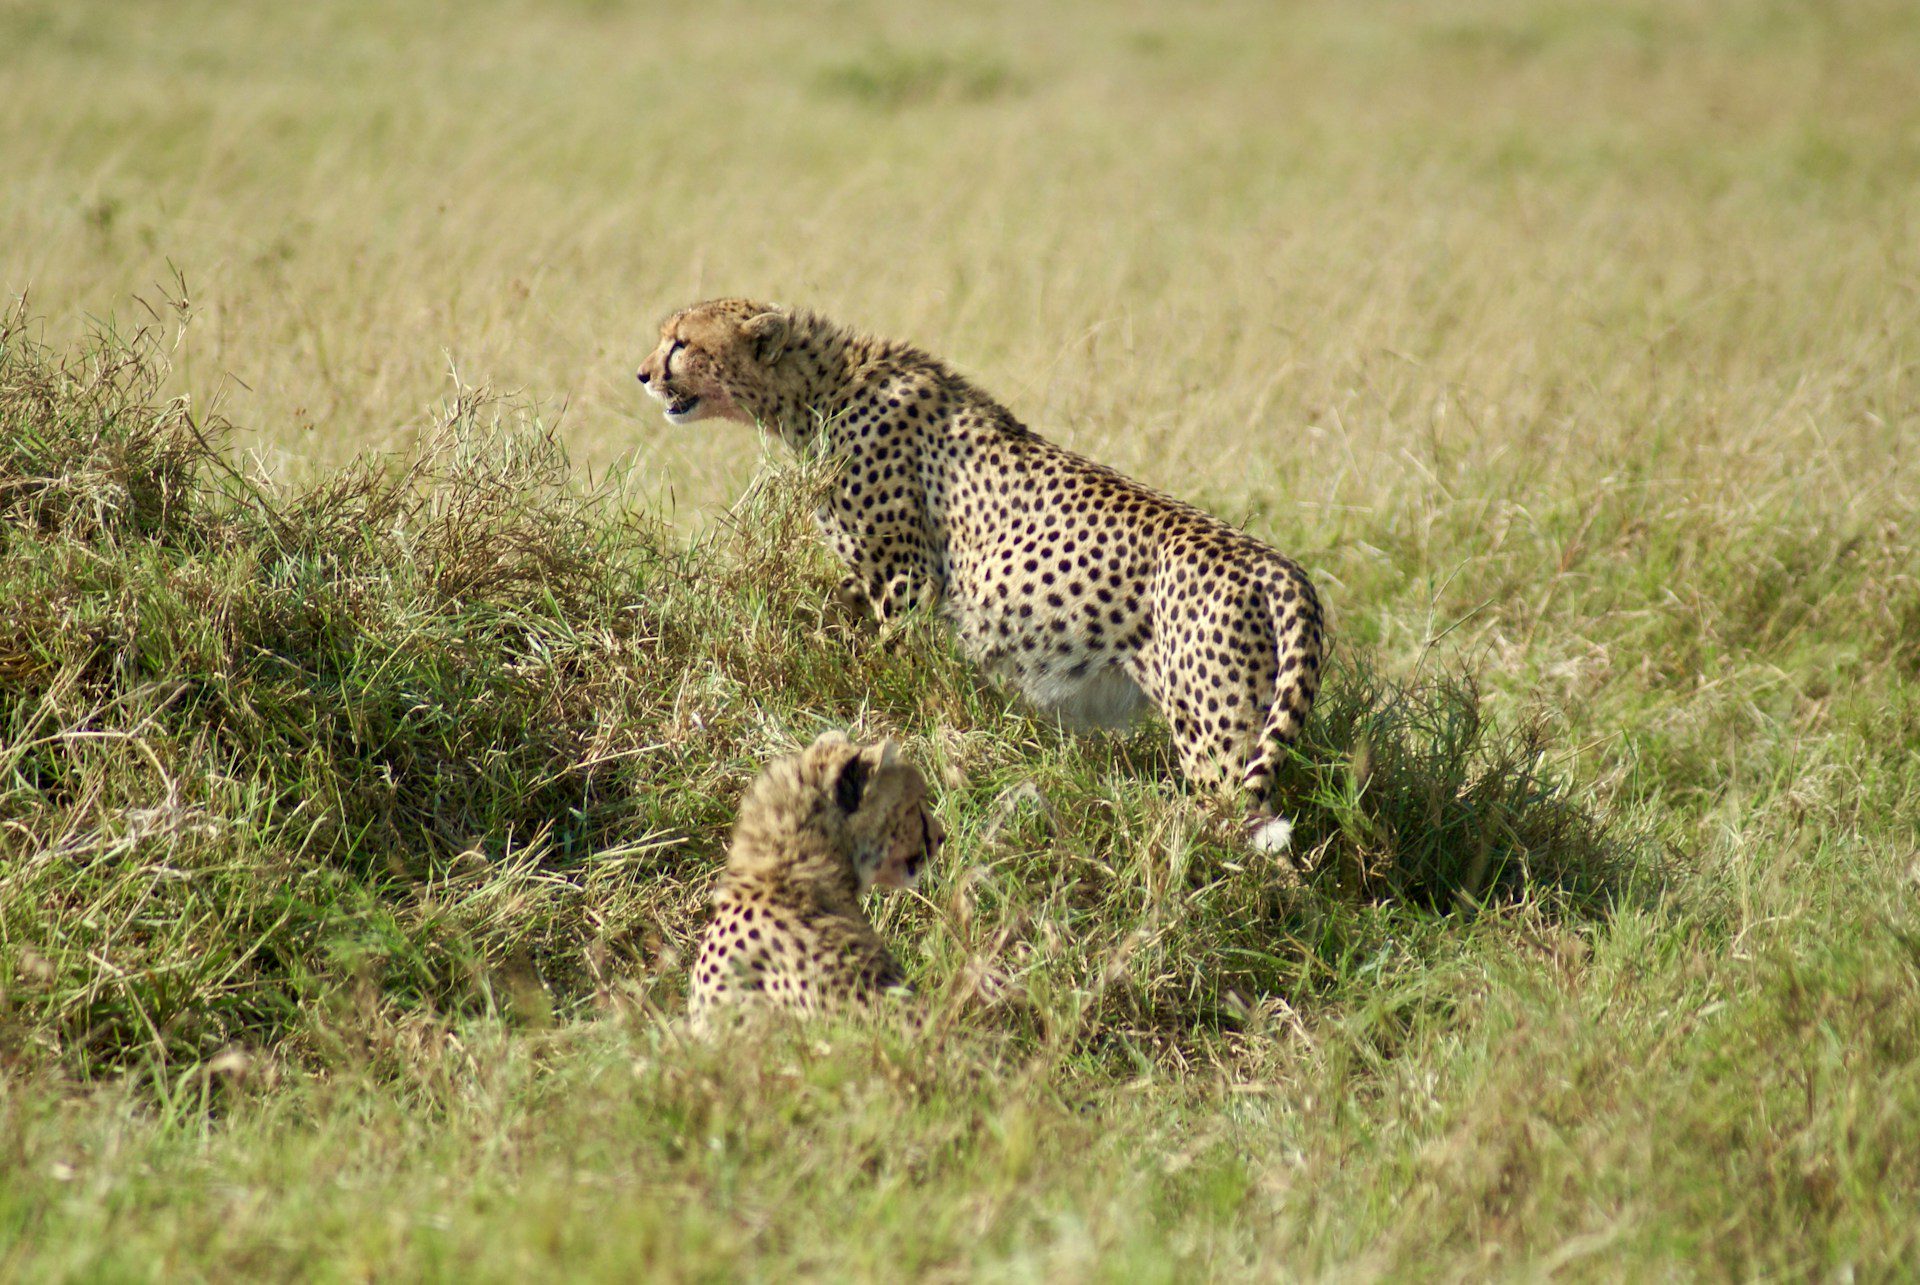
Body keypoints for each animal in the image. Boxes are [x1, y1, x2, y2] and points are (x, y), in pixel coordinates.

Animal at [638, 299, 1325, 852]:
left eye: (682, 343)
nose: (642, 374)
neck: (819, 390)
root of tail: (1281, 567)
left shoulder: (906, 579)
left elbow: (896, 670)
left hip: (1215, 736)